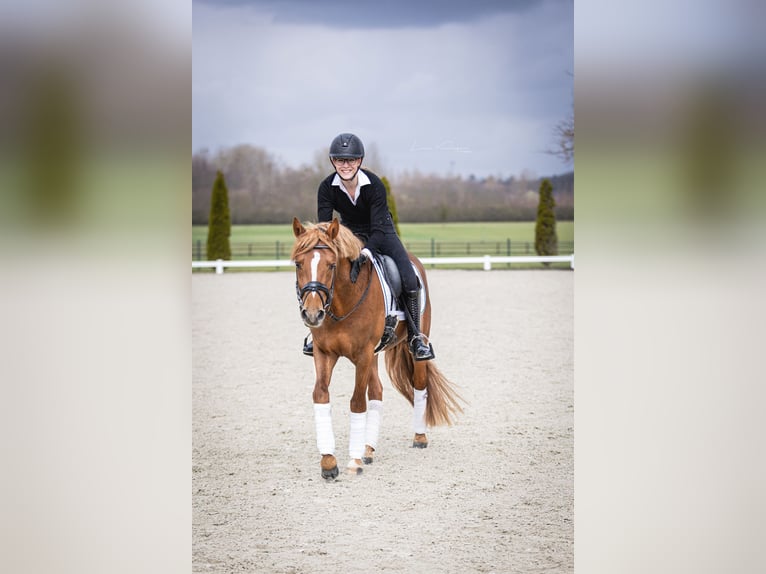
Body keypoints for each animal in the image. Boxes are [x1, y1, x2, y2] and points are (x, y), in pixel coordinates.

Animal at [292, 218, 462, 480]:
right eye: (299, 264)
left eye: (331, 265)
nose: (312, 314)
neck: (344, 301)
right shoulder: (324, 353)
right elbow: (320, 394)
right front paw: (329, 462)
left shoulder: (362, 354)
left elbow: (356, 402)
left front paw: (353, 461)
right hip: (371, 355)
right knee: (377, 391)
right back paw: (368, 448)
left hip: (407, 349)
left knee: (419, 384)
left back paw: (419, 437)